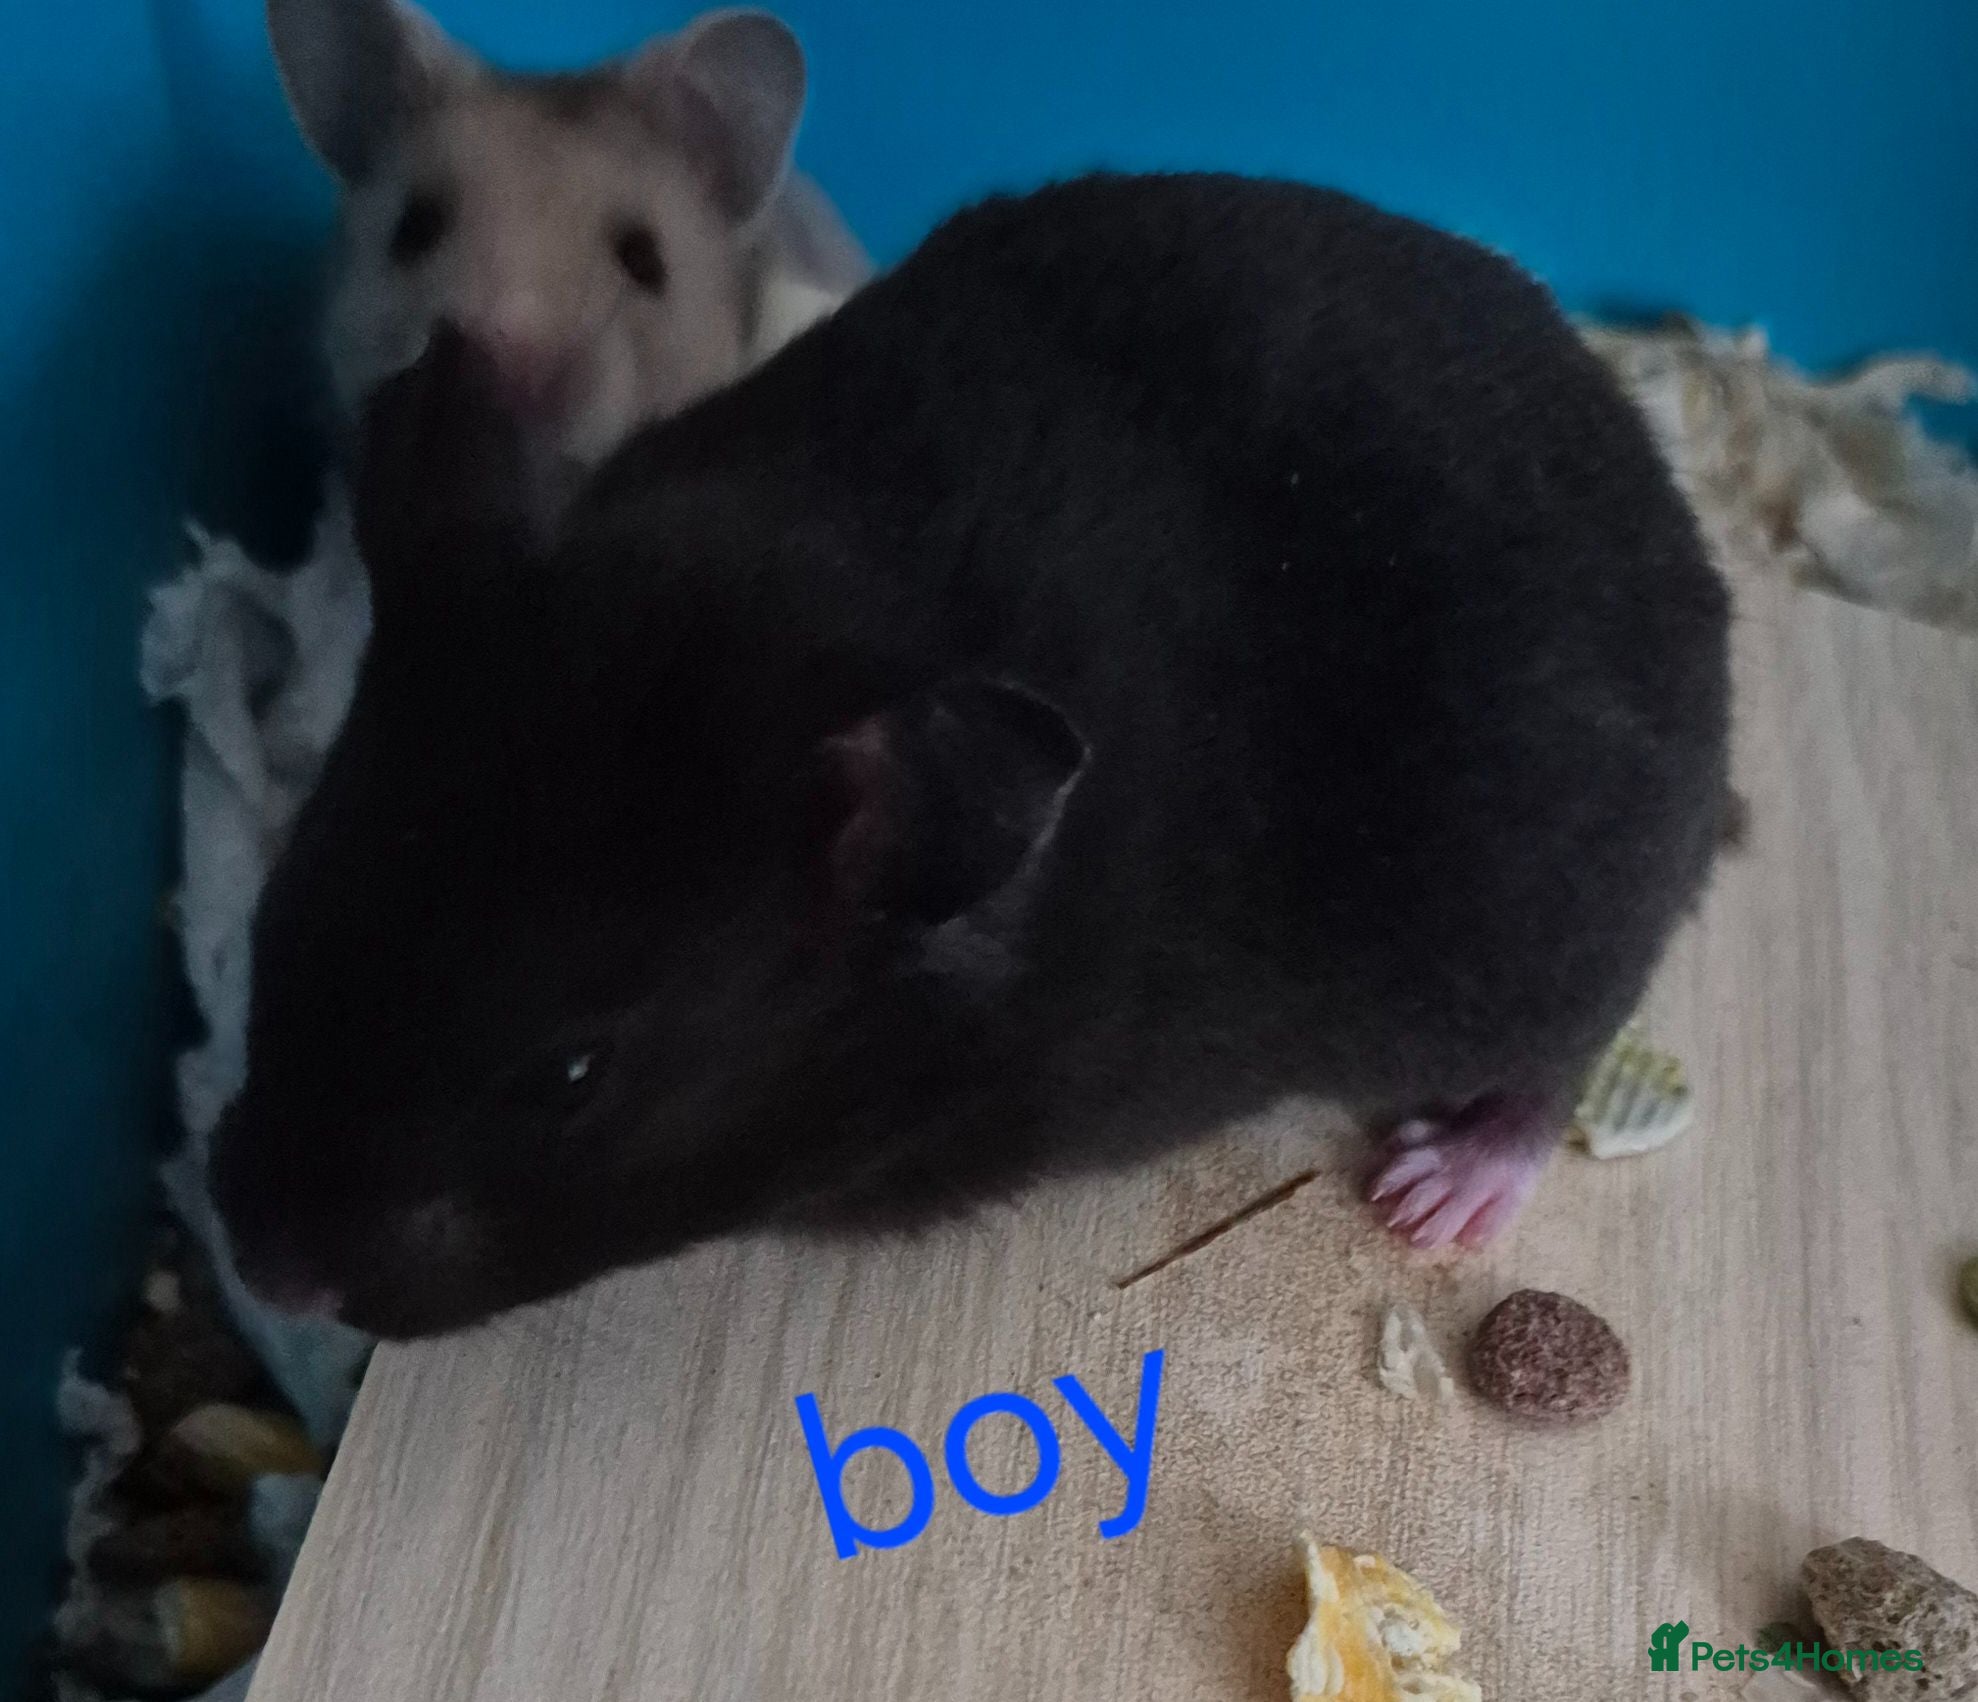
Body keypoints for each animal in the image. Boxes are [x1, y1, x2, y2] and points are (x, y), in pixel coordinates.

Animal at [210, 173, 1733, 1340]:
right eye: (281, 898)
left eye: (573, 1079)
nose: (263, 1271)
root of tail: (1691, 565)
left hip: (1533, 932)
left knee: (1561, 1056)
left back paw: (1434, 1190)